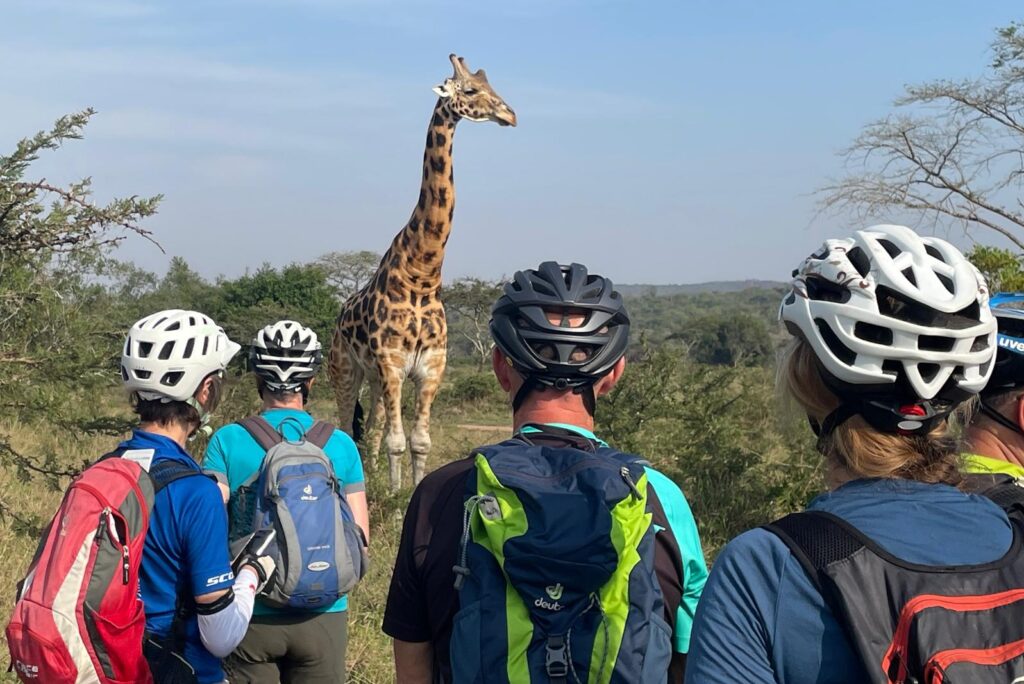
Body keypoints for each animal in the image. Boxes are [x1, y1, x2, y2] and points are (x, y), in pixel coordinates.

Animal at [331, 54, 516, 491]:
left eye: (493, 88)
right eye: (470, 90)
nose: (510, 115)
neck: (422, 273)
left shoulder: (431, 367)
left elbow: (419, 441)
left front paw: (406, 489)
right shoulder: (393, 362)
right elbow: (399, 441)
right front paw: (395, 496)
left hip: (376, 379)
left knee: (374, 424)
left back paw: (373, 472)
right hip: (346, 368)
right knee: (346, 423)